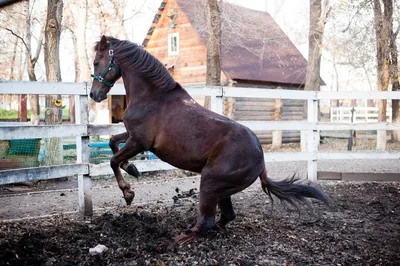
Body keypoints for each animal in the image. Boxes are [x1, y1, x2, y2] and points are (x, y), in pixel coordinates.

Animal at [90, 35, 332, 243]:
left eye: (95, 62)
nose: (94, 95)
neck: (152, 97)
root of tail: (261, 159)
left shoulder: (139, 142)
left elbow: (112, 160)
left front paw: (128, 192)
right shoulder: (132, 137)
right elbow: (112, 142)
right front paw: (132, 169)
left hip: (209, 183)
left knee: (206, 222)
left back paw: (178, 239)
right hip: (221, 189)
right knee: (226, 217)